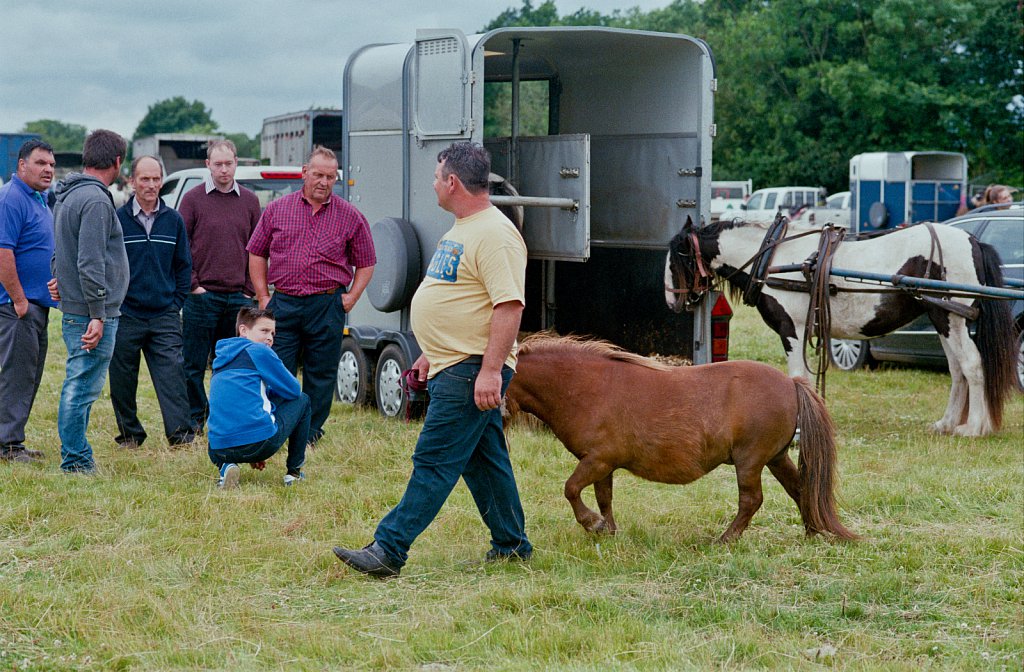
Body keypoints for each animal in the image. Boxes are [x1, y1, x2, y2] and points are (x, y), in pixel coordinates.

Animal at [503, 333, 856, 544]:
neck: (586, 388)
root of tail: (791, 383)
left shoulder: (598, 460)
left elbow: (571, 489)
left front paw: (593, 524)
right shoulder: (602, 464)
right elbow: (605, 498)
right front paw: (610, 531)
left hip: (751, 461)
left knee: (751, 500)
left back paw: (726, 539)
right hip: (776, 458)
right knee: (800, 488)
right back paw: (812, 531)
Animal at [663, 215, 1015, 436]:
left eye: (676, 258)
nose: (670, 302)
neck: (772, 260)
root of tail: (973, 241)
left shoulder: (791, 329)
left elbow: (798, 377)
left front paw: (799, 428)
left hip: (952, 317)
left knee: (972, 365)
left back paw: (975, 427)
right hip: (943, 318)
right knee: (957, 370)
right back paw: (947, 423)